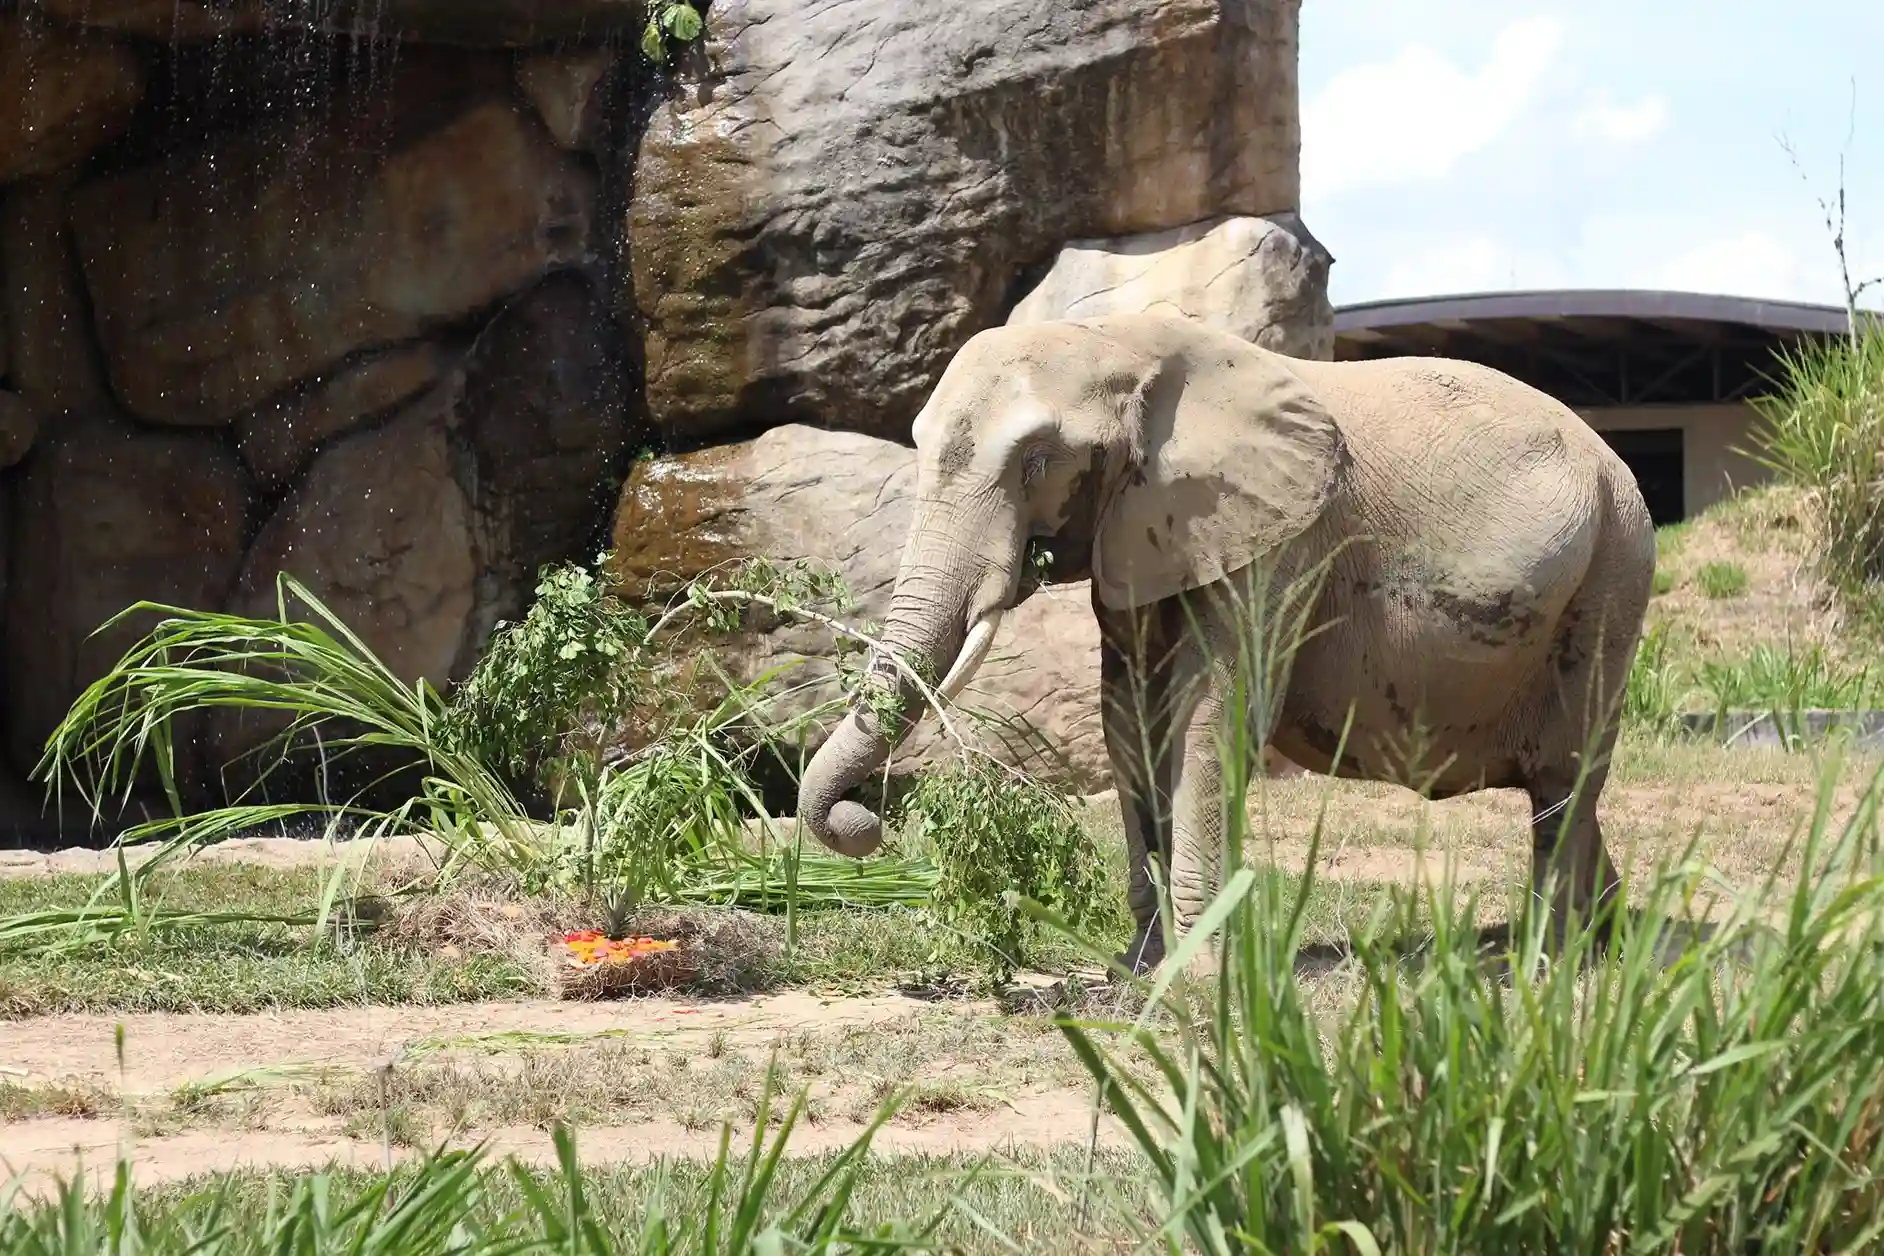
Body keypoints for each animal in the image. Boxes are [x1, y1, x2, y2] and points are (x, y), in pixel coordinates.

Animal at [795, 312, 1650, 971]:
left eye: (1038, 461)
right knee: (1563, 787)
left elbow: (1210, 712)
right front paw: (1142, 963)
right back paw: (1610, 938)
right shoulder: (1141, 532)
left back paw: (1553, 959)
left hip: (1613, 572)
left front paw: (1200, 967)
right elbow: (1128, 717)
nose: (868, 822)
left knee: (1566, 781)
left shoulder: (1277, 539)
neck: (1117, 339)